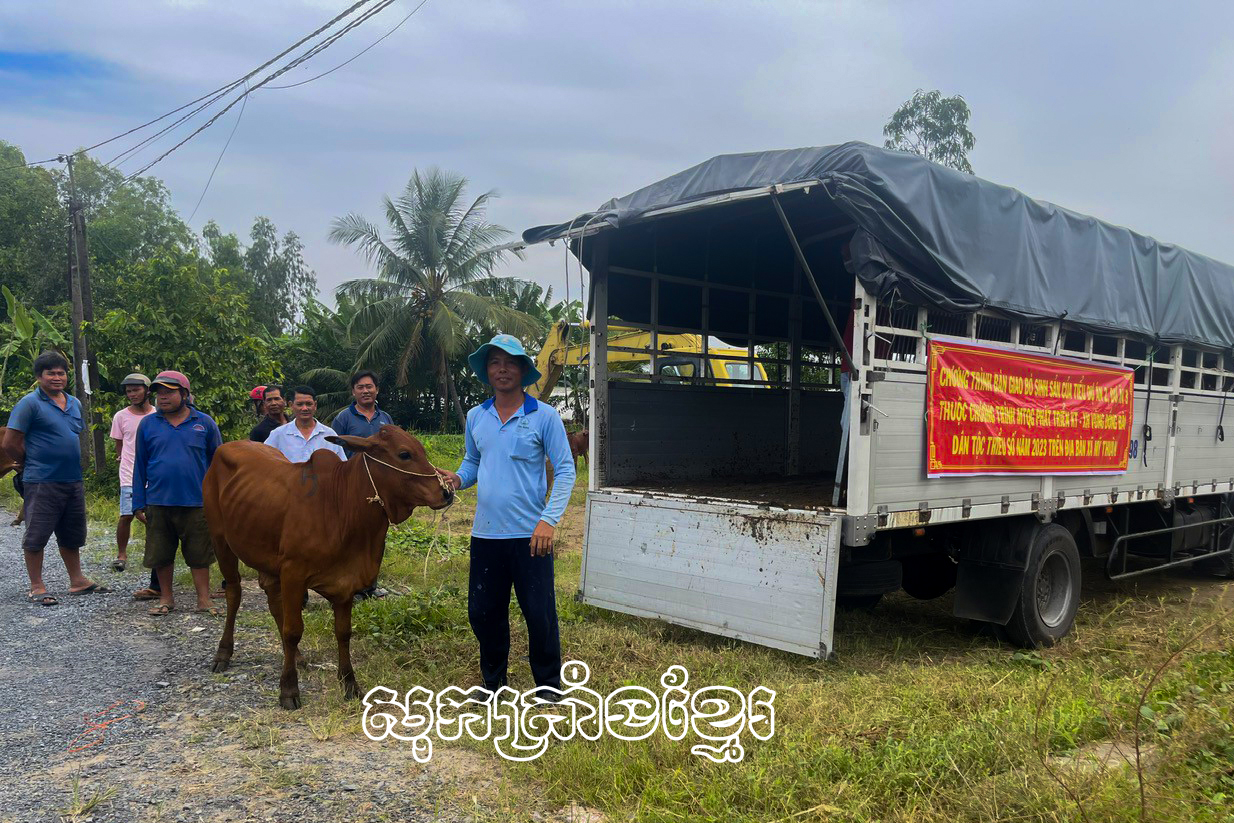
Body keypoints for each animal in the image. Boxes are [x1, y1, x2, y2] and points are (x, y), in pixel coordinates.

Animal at [202, 424, 454, 710]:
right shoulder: (293, 574)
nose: (446, 492)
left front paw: (350, 684)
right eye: (404, 454)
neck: (340, 507)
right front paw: (288, 689)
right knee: (234, 594)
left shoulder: (345, 582)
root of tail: (226, 447)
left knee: (272, 599)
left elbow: (343, 633)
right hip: (221, 540)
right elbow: (293, 631)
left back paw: (297, 658)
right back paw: (224, 653)